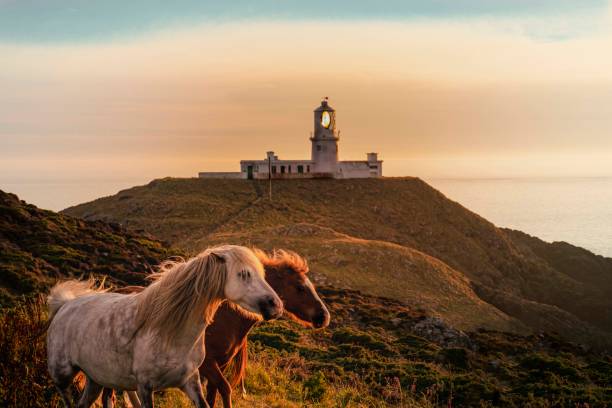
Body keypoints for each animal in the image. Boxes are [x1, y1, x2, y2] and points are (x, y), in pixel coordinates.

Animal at [46, 244, 284, 406]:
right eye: (243, 274)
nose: (276, 305)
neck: (172, 333)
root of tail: (65, 305)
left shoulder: (191, 381)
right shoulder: (145, 387)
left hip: (96, 380)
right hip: (63, 377)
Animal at [102, 249, 330, 408]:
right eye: (300, 287)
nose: (324, 317)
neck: (224, 318)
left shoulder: (217, 366)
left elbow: (212, 397)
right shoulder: (208, 365)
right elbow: (226, 389)